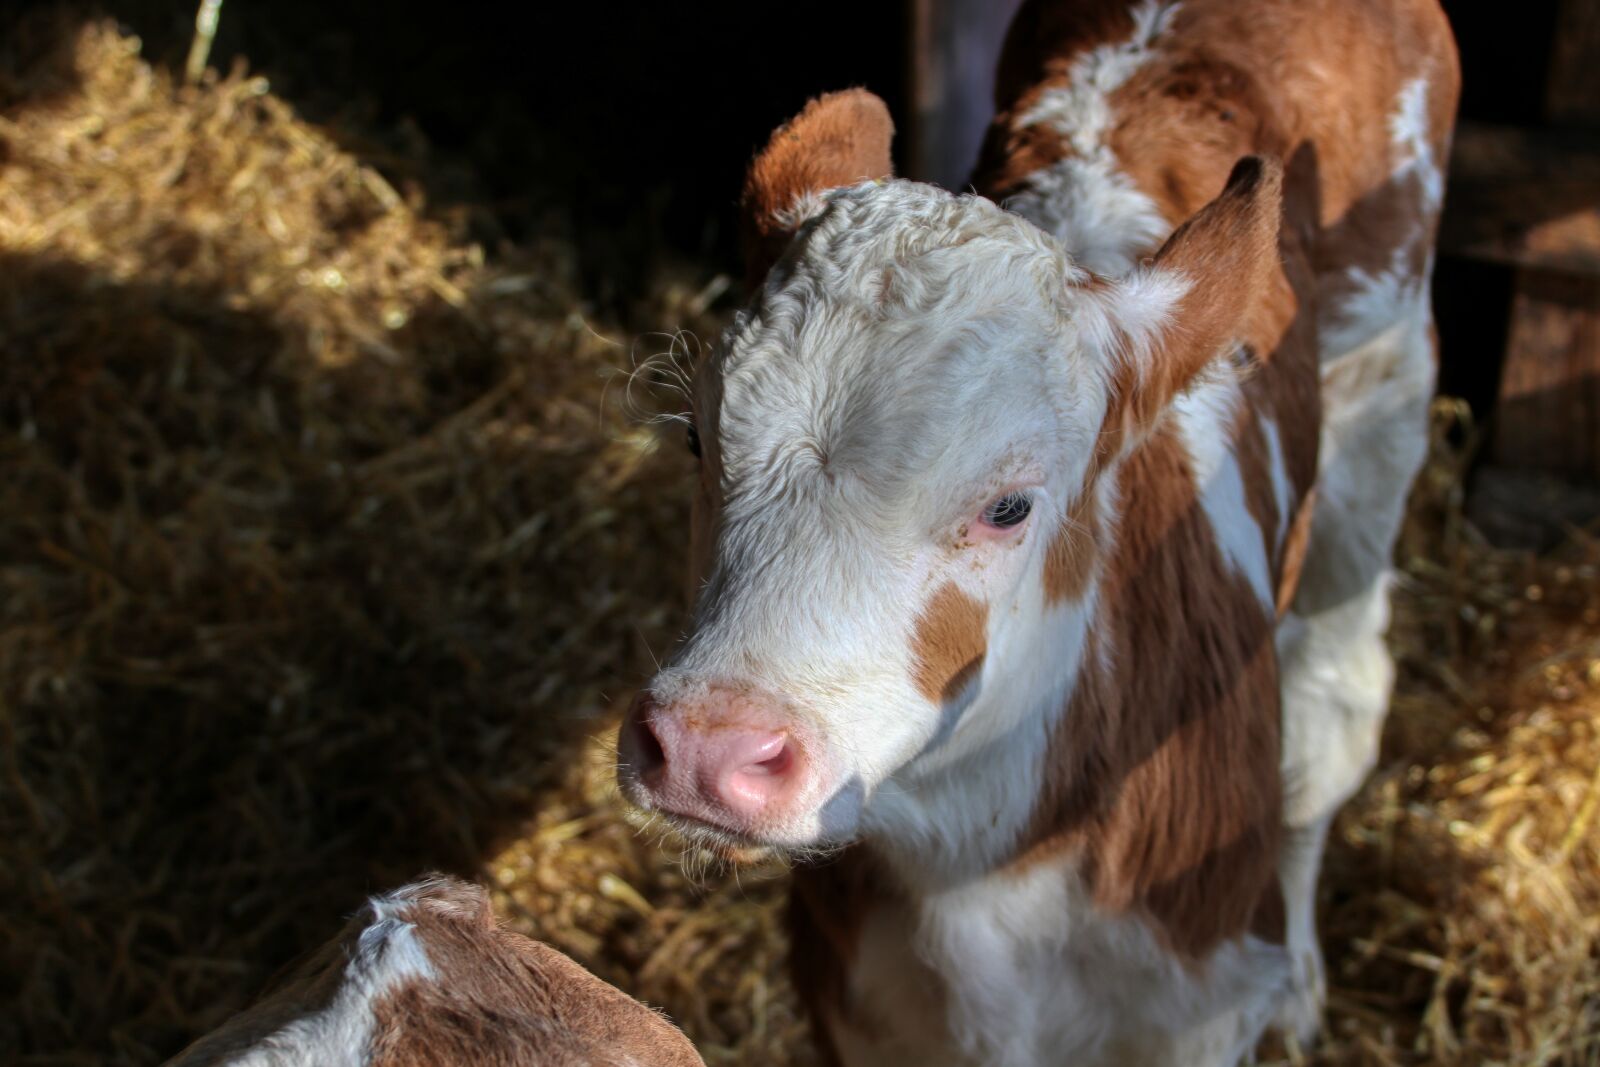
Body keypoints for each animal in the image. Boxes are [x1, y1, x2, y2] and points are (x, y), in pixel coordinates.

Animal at [616, 0, 1459, 1063]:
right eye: (697, 436)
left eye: (1010, 505)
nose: (703, 749)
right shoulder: (848, 998)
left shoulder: (1195, 1003)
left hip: (1385, 396)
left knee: (1334, 710)